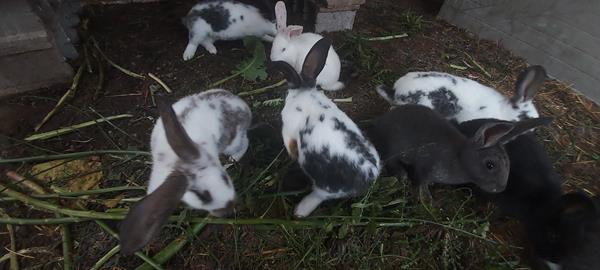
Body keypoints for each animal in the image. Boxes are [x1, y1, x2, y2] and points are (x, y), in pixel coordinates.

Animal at [119, 89, 251, 254]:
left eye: (225, 179)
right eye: (202, 196)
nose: (230, 208)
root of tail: (243, 106)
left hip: (233, 142)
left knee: (244, 145)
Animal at [270, 37, 380, 217]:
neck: (305, 94)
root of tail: (368, 177)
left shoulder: (289, 132)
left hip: (323, 187)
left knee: (318, 197)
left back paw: (300, 211)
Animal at [370, 104, 552, 201]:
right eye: (490, 165)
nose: (500, 189)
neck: (460, 157)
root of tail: (379, 122)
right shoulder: (425, 167)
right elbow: (421, 181)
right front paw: (426, 199)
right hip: (394, 148)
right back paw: (402, 175)